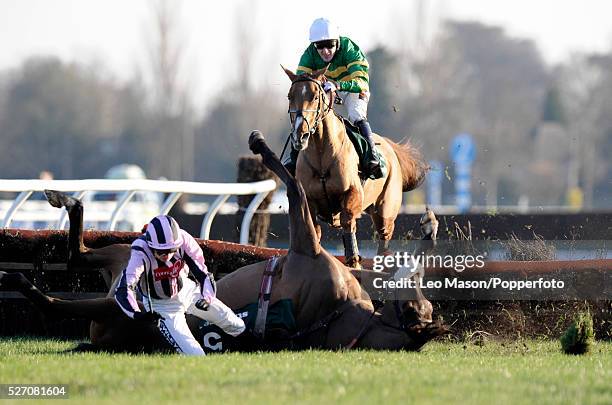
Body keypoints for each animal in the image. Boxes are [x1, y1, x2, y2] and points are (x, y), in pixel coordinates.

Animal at [0, 131, 444, 352]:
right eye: (420, 293)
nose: (412, 283)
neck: (347, 313)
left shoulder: (307, 246)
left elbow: (293, 183)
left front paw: (262, 145)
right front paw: (428, 229)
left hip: (120, 301)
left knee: (61, 291)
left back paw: (23, 280)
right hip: (123, 255)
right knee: (79, 253)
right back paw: (65, 200)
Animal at [282, 67, 426, 268]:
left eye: (315, 96)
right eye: (290, 96)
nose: (299, 135)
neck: (321, 155)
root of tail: (389, 146)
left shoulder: (353, 194)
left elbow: (347, 222)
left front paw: (354, 261)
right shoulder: (309, 201)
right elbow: (313, 232)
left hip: (385, 211)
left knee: (384, 241)